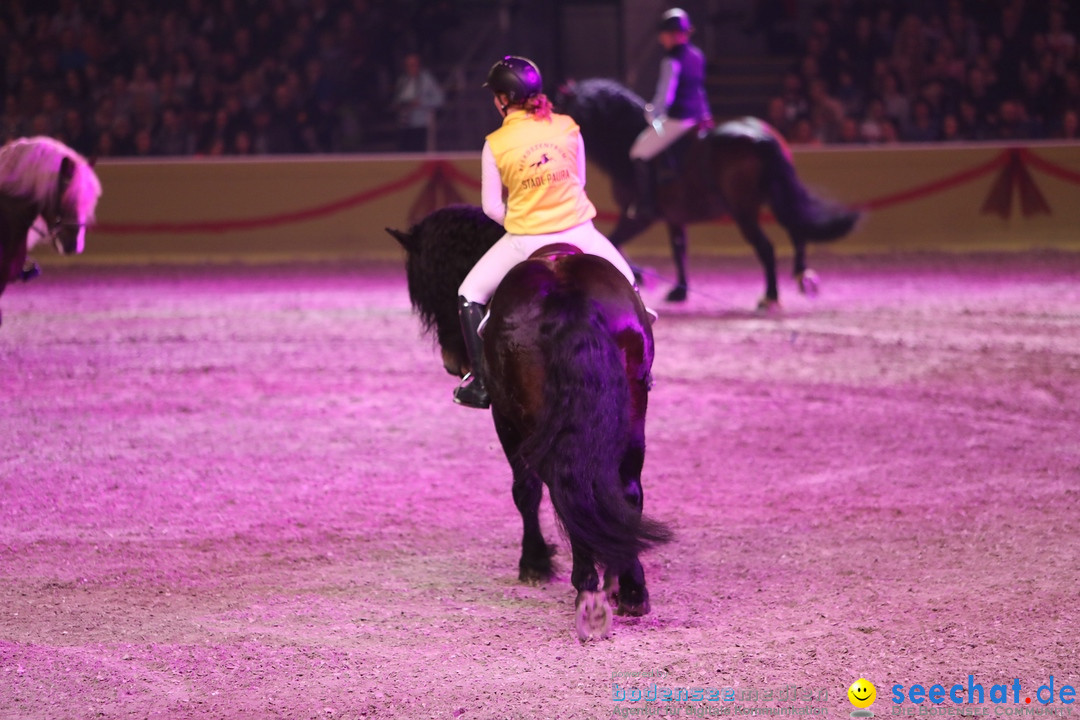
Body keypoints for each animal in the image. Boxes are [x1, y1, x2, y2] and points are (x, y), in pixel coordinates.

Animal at [388, 205, 669, 639]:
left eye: (431, 287)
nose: (452, 363)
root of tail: (568, 293)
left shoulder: (505, 417)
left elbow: (525, 490)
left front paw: (534, 563)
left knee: (563, 484)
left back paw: (587, 588)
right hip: (632, 405)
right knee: (625, 486)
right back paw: (630, 589)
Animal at [557, 79, 859, 310]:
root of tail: (759, 136)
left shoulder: (639, 217)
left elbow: (615, 242)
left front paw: (643, 277)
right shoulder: (674, 217)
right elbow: (678, 249)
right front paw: (678, 291)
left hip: (744, 211)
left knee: (766, 247)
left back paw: (770, 297)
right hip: (775, 196)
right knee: (796, 231)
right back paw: (803, 278)